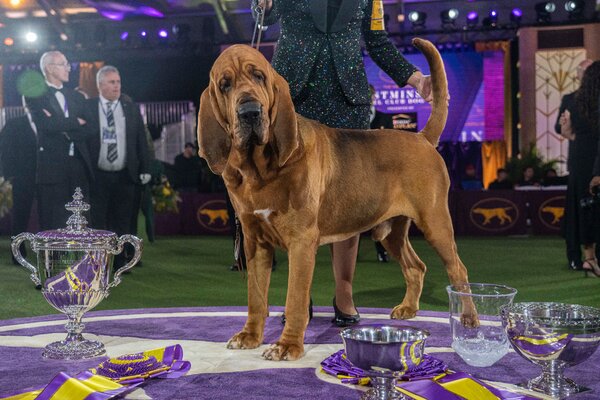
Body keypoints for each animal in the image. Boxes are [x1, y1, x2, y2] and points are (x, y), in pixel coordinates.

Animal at [197, 39, 474, 360]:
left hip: (435, 223)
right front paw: (250, 336)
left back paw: (469, 319)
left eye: (259, 77)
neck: (260, 169)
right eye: (225, 84)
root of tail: (421, 137)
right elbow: (256, 297)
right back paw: (408, 309)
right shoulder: (255, 243)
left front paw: (287, 345)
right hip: (391, 232)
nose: (250, 111)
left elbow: (295, 298)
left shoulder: (301, 242)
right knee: (416, 266)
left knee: (458, 269)